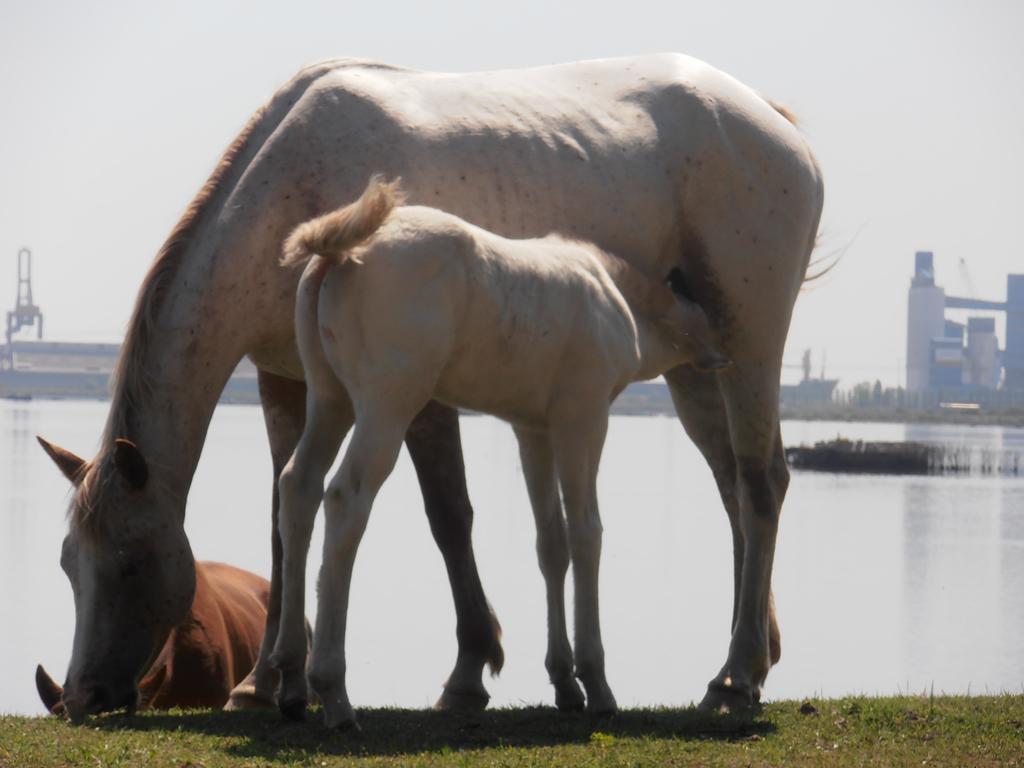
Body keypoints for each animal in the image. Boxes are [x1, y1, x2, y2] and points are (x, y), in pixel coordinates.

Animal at [264, 176, 729, 729]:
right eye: (702, 302)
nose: (723, 354)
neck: (615, 297)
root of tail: (339, 253)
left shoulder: (533, 431)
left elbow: (551, 543)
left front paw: (564, 682)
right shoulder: (583, 419)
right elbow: (586, 533)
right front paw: (596, 683)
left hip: (329, 398)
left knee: (299, 487)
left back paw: (291, 679)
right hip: (387, 405)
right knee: (345, 497)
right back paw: (334, 693)